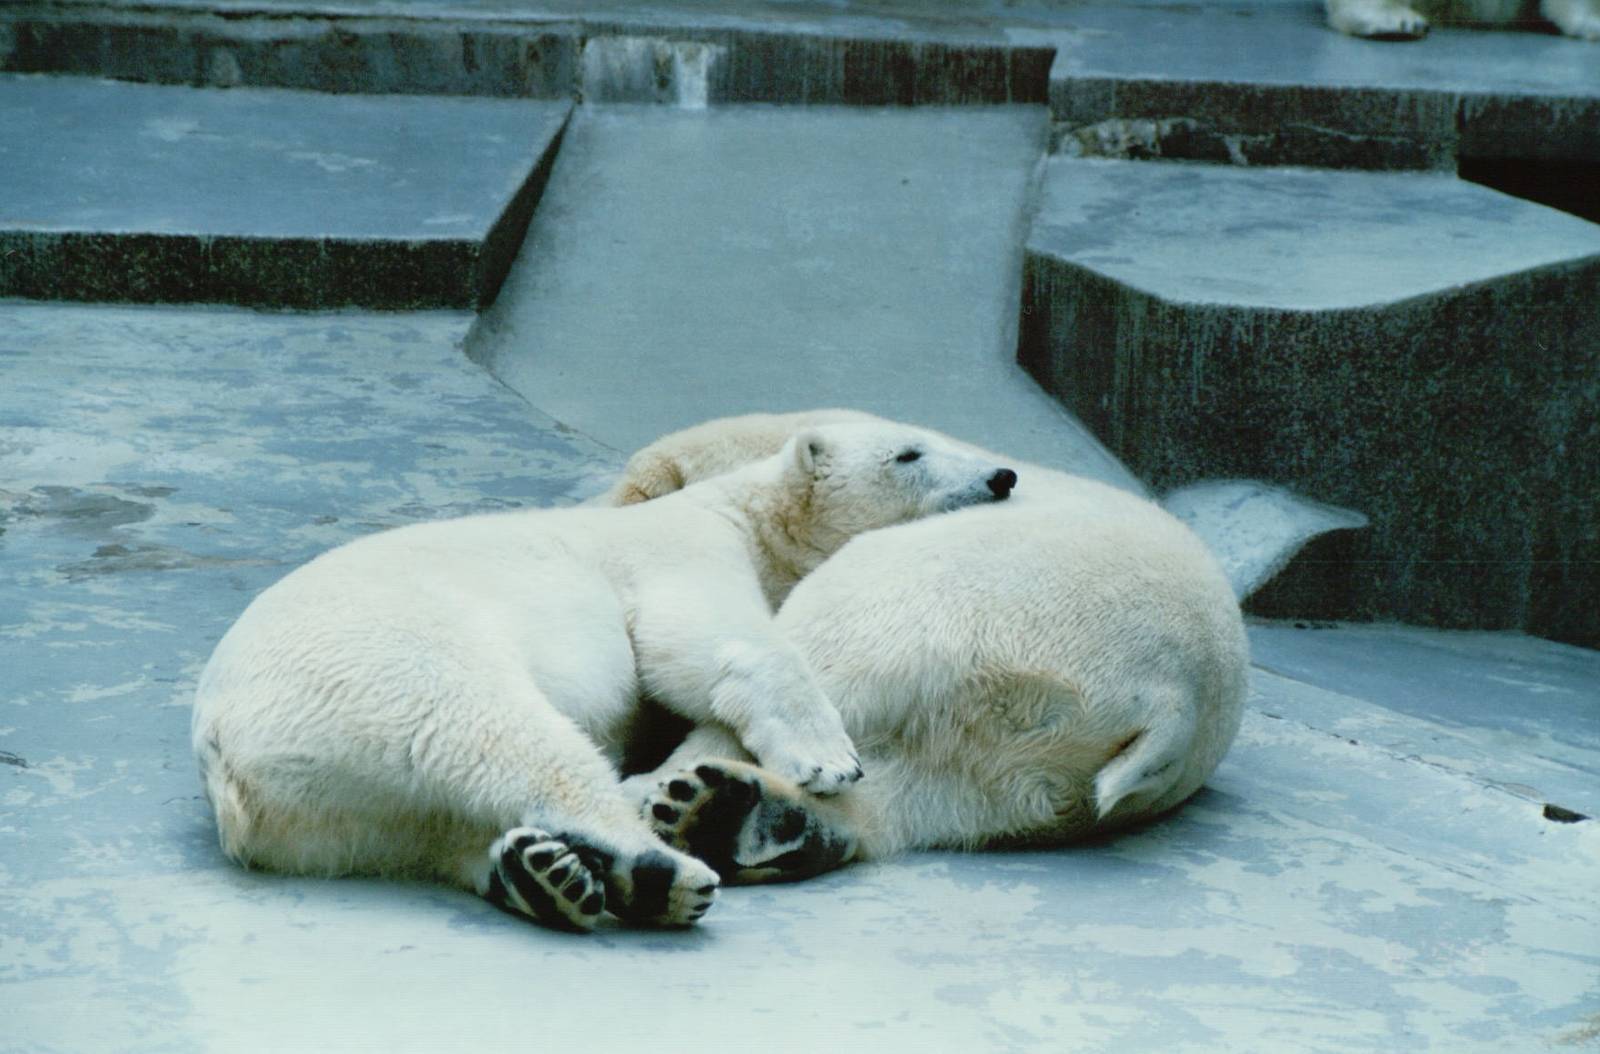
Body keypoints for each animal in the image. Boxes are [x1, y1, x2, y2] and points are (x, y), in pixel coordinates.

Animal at [191, 420, 1017, 932]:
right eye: (909, 454)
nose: (1003, 475)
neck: (743, 511)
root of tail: (227, 752)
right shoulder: (681, 550)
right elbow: (699, 639)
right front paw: (828, 759)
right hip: (386, 661)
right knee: (501, 736)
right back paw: (663, 870)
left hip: (326, 814)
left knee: (423, 826)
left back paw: (545, 874)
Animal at [606, 410, 1248, 885]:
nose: (1003, 479)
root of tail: (1173, 699)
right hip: (1050, 763)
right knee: (926, 798)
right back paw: (740, 816)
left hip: (959, 600)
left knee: (828, 656)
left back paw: (673, 794)